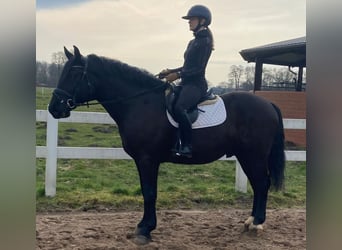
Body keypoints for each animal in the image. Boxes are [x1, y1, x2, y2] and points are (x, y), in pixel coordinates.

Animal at [47, 46, 284, 244]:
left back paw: (256, 223)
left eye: (74, 74)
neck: (140, 102)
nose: (54, 108)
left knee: (262, 183)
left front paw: (144, 230)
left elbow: (149, 192)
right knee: (258, 184)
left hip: (253, 155)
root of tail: (268, 103)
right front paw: (144, 226)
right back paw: (251, 221)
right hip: (246, 156)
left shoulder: (147, 159)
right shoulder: (144, 160)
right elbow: (147, 192)